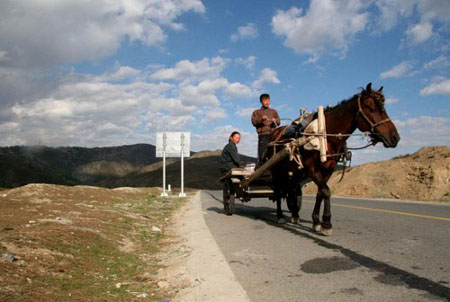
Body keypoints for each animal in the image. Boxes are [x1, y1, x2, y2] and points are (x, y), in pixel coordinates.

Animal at [266, 82, 400, 236]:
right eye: (371, 108)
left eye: (384, 109)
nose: (395, 137)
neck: (325, 135)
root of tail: (275, 133)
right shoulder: (311, 168)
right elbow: (326, 191)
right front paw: (327, 223)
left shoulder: (328, 169)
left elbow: (320, 192)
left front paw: (317, 222)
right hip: (276, 170)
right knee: (278, 190)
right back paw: (280, 216)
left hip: (294, 170)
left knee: (292, 189)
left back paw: (294, 214)